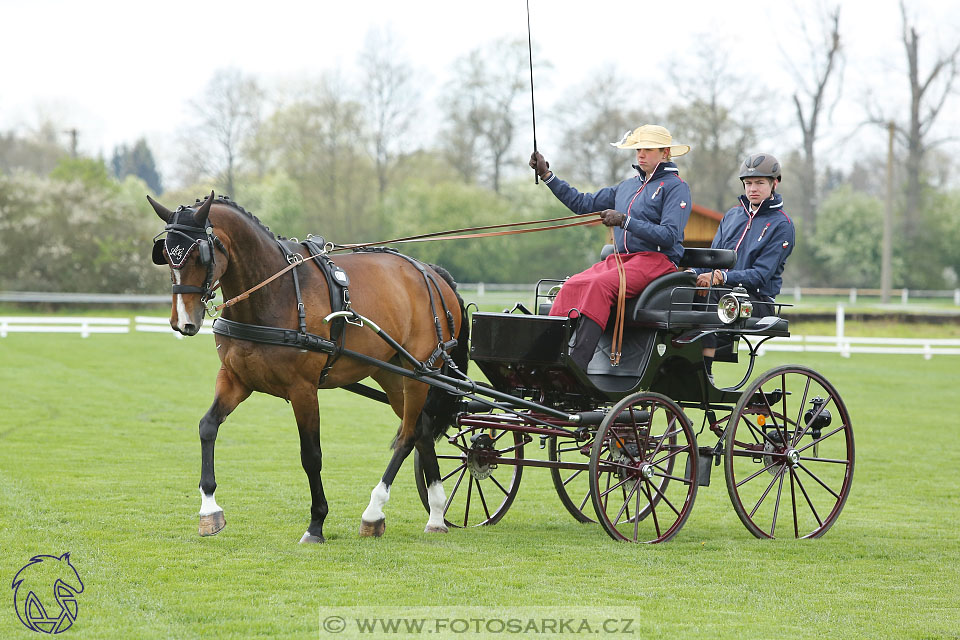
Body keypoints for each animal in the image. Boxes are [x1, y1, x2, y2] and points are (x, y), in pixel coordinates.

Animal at [145, 192, 468, 544]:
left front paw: (316, 523)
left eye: (199, 255)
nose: (183, 322)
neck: (275, 291)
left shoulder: (303, 389)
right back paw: (435, 514)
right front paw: (209, 510)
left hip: (420, 371)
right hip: (393, 372)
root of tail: (430, 272)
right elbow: (207, 427)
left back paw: (374, 511)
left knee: (407, 435)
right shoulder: (236, 379)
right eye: (166, 255)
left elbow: (311, 456)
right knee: (421, 429)